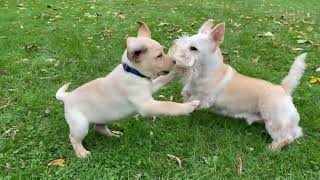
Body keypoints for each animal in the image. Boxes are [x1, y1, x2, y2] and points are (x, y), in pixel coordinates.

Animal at [56, 21, 199, 158]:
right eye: (159, 56)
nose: (174, 61)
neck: (134, 72)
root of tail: (67, 97)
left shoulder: (151, 87)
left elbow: (162, 80)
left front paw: (177, 71)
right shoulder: (146, 105)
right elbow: (168, 105)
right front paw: (189, 106)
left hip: (102, 118)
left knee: (99, 128)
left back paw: (114, 135)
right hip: (80, 125)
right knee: (73, 137)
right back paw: (81, 153)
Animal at [162, 19, 308, 150]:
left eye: (193, 48)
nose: (173, 59)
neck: (206, 71)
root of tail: (284, 89)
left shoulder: (203, 99)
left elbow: (191, 102)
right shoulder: (190, 91)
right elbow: (186, 97)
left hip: (275, 120)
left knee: (286, 137)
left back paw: (272, 148)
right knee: (297, 132)